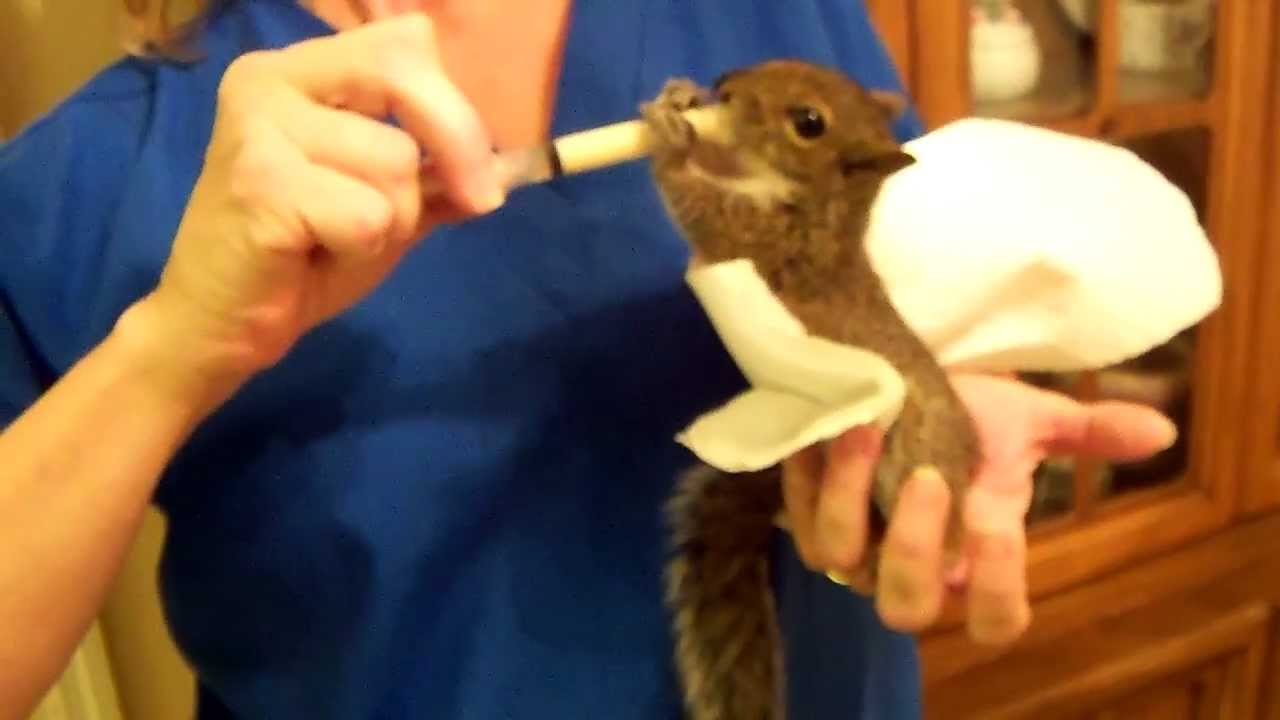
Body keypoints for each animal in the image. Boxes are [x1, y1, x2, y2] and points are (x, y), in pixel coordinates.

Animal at [641, 60, 980, 720]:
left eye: (808, 122)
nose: (725, 85)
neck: (827, 205)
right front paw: (681, 100)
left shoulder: (767, 244)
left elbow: (703, 209)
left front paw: (671, 143)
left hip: (914, 475)